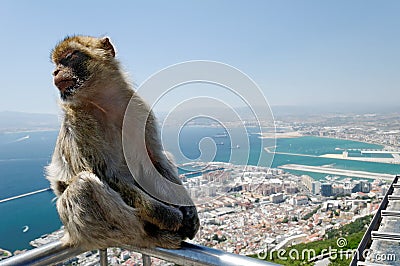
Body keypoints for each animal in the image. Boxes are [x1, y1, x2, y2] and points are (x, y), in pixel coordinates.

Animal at [47, 35, 200, 249]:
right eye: (56, 64)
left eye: (69, 57)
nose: (55, 71)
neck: (105, 103)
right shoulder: (79, 122)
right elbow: (105, 174)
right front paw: (170, 217)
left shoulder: (139, 108)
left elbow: (155, 159)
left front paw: (189, 210)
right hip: (90, 230)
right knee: (83, 186)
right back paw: (151, 234)